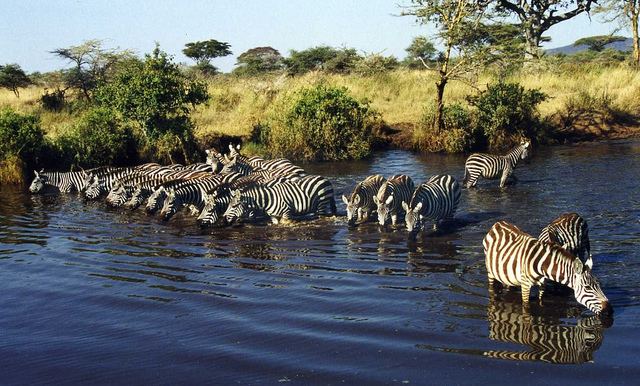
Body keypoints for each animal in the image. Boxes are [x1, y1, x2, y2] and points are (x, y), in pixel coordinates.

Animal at [482, 220, 612, 316]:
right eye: (587, 287)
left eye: (599, 285)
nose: (609, 310)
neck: (543, 266)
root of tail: (498, 223)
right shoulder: (525, 285)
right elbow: (526, 306)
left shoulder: (543, 283)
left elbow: (541, 300)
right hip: (490, 272)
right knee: (491, 288)